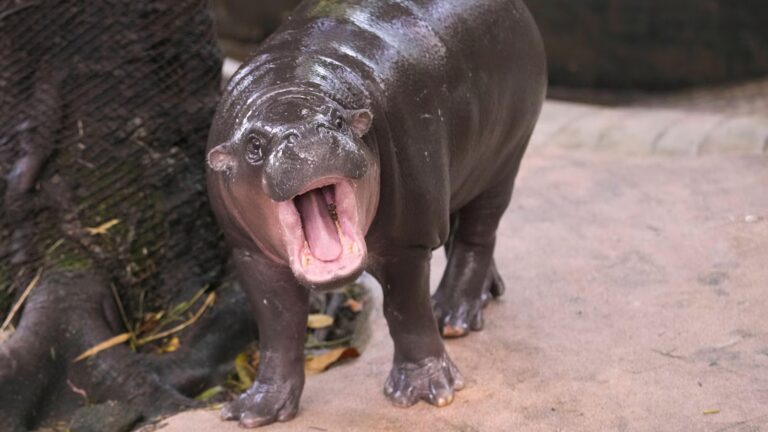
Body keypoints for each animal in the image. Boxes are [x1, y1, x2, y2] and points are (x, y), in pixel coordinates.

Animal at [206, 0, 546, 427]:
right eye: (253, 144)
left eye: (337, 121)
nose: (309, 136)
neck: (291, 86)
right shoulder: (250, 255)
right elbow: (278, 327)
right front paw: (254, 410)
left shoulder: (408, 241)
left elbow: (405, 310)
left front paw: (426, 392)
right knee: (460, 228)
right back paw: (483, 294)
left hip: (505, 158)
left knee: (478, 234)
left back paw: (452, 316)